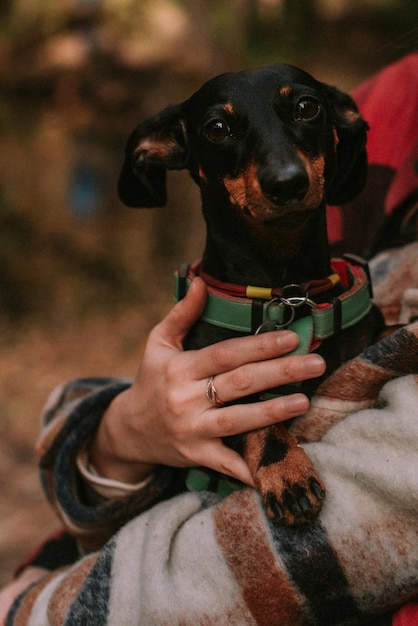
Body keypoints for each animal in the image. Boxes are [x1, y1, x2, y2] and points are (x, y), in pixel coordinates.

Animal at [116, 64, 384, 520]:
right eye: (217, 128)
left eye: (308, 107)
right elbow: (259, 419)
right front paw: (286, 470)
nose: (287, 184)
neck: (286, 290)